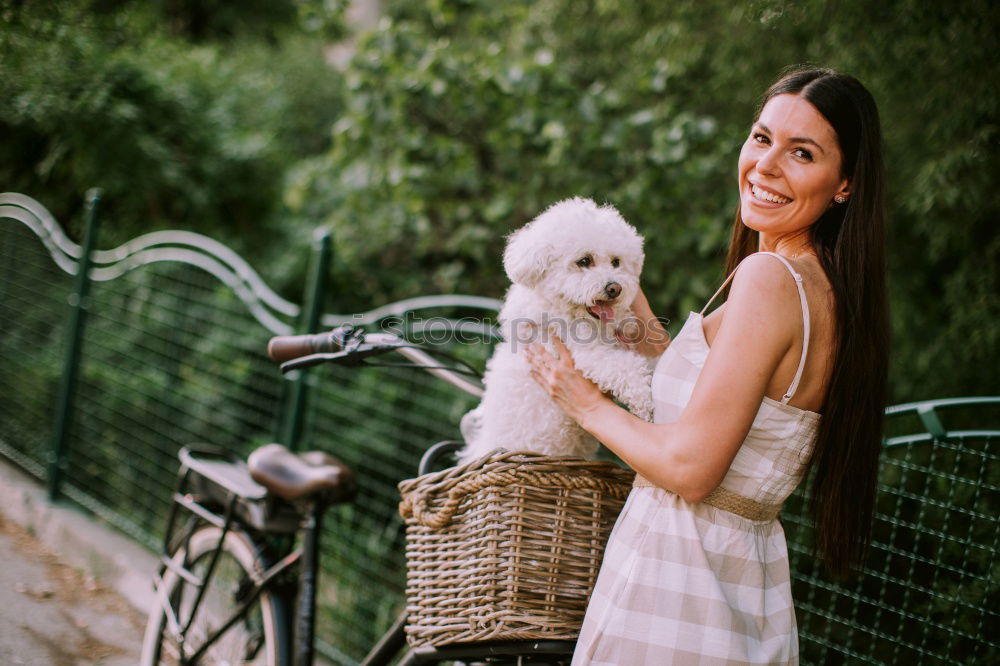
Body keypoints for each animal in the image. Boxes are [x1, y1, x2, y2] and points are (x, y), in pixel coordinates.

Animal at [460, 195, 656, 460]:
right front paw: (645, 401)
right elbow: (625, 368)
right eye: (584, 261)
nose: (615, 288)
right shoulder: (583, 353)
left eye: (616, 262)